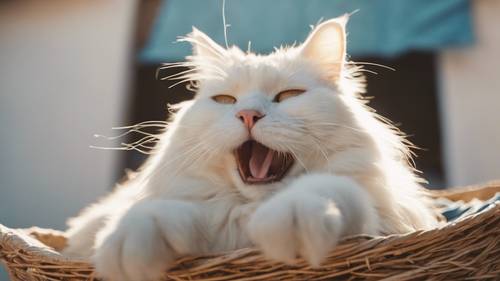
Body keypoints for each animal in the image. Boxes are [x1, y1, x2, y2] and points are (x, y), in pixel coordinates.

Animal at [62, 15, 438, 280]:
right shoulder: (205, 218)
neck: (249, 215)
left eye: (288, 95)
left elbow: (323, 190)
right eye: (226, 100)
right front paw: (126, 248)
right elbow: (154, 213)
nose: (248, 115)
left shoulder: (385, 220)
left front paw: (295, 217)